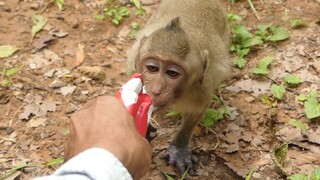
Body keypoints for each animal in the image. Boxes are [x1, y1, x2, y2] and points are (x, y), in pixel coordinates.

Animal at [126, 0, 229, 175]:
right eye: (152, 68)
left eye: (172, 73)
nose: (156, 90)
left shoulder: (203, 86)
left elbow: (196, 111)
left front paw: (178, 148)